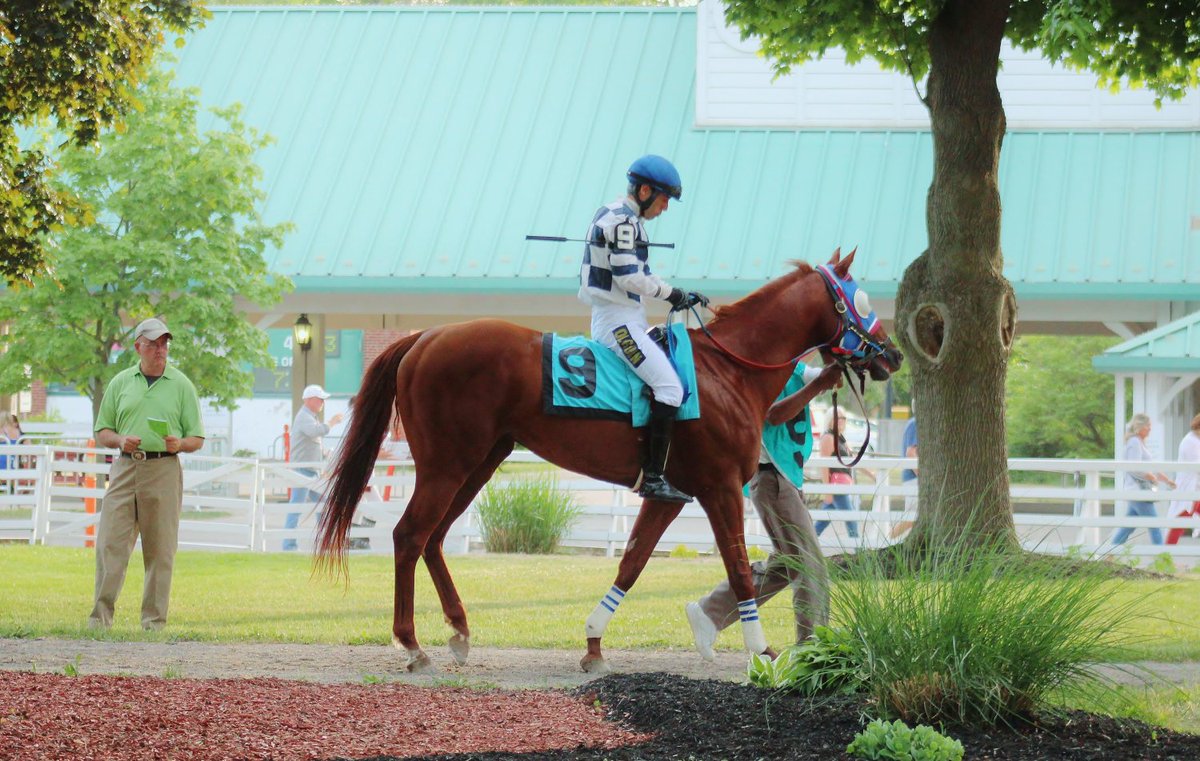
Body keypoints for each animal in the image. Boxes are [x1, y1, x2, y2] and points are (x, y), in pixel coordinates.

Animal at [316, 248, 902, 673]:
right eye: (860, 298)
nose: (892, 355)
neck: (729, 369)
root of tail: (426, 336)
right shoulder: (717, 489)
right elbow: (737, 570)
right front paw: (762, 653)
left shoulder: (671, 494)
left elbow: (632, 563)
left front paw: (594, 645)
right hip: (447, 464)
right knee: (409, 535)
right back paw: (413, 645)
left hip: (480, 462)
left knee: (434, 539)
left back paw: (459, 631)